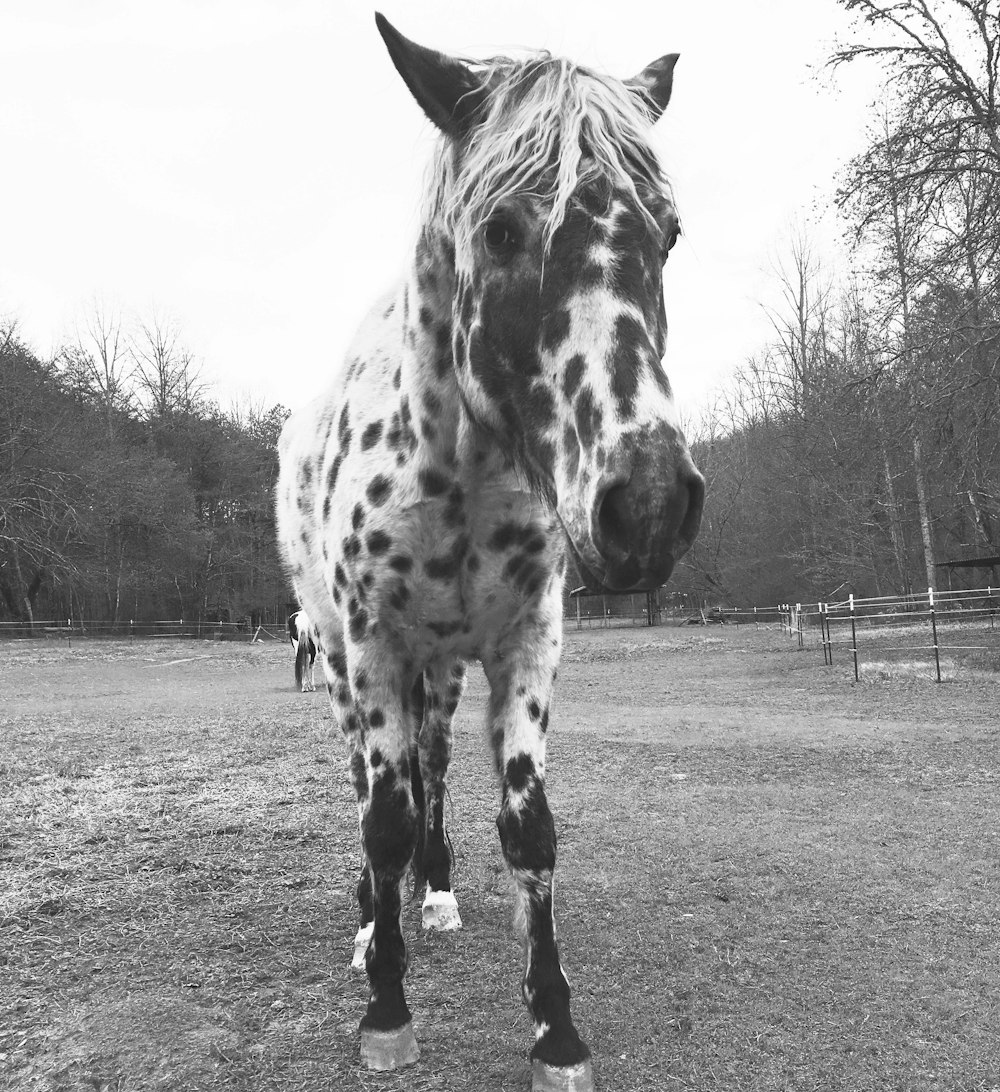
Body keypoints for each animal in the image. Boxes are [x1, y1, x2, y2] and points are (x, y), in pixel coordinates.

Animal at [275, 12, 703, 1087]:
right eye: (502, 230)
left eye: (668, 235)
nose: (648, 503)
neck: (455, 472)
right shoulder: (374, 649)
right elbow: (380, 820)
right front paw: (386, 1012)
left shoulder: (523, 648)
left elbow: (528, 829)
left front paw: (556, 1027)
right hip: (344, 666)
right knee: (371, 786)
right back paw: (371, 921)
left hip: (442, 672)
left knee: (428, 770)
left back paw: (432, 895)